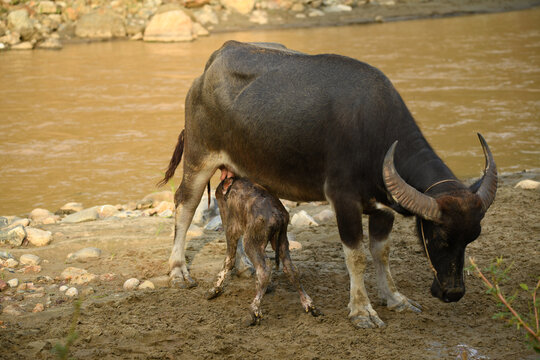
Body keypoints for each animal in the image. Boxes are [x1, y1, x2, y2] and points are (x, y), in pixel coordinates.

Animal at [206, 176, 316, 324]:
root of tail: (277, 214)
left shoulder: (231, 229)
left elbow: (229, 260)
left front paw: (214, 290)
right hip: (282, 241)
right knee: (290, 269)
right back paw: (308, 304)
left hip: (251, 242)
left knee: (264, 269)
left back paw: (254, 311)